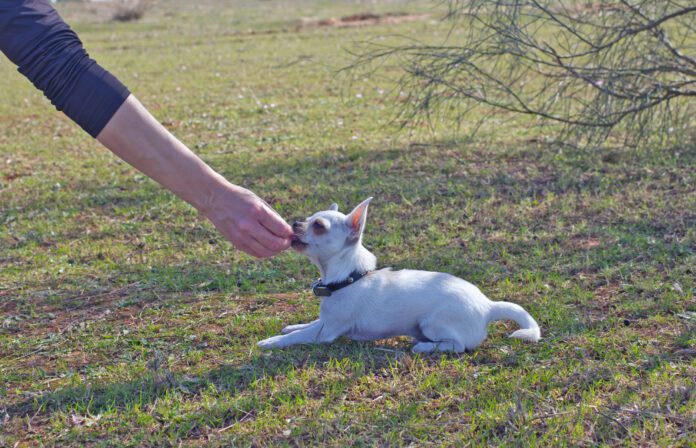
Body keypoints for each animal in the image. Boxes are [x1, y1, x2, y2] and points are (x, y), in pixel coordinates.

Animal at [258, 198, 540, 352]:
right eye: (308, 218)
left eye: (318, 226)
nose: (294, 223)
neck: (350, 278)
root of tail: (488, 306)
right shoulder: (324, 322)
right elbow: (307, 324)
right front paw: (292, 325)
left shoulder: (326, 332)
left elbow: (298, 336)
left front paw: (271, 342)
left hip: (432, 323)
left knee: (458, 346)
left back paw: (425, 347)